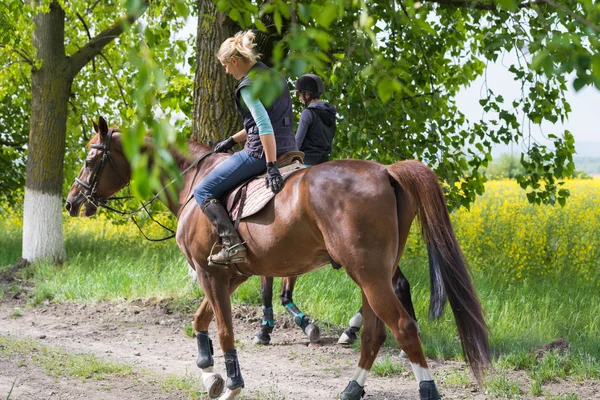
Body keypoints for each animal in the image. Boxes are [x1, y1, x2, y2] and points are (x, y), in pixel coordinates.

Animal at [65, 118, 490, 400]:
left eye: (90, 159)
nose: (72, 202)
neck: (193, 183)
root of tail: (386, 171)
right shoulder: (229, 273)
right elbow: (201, 320)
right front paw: (210, 375)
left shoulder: (209, 272)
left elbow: (223, 328)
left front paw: (232, 384)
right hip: (371, 276)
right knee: (375, 333)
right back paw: (351, 388)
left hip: (369, 274)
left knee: (402, 327)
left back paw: (422, 388)